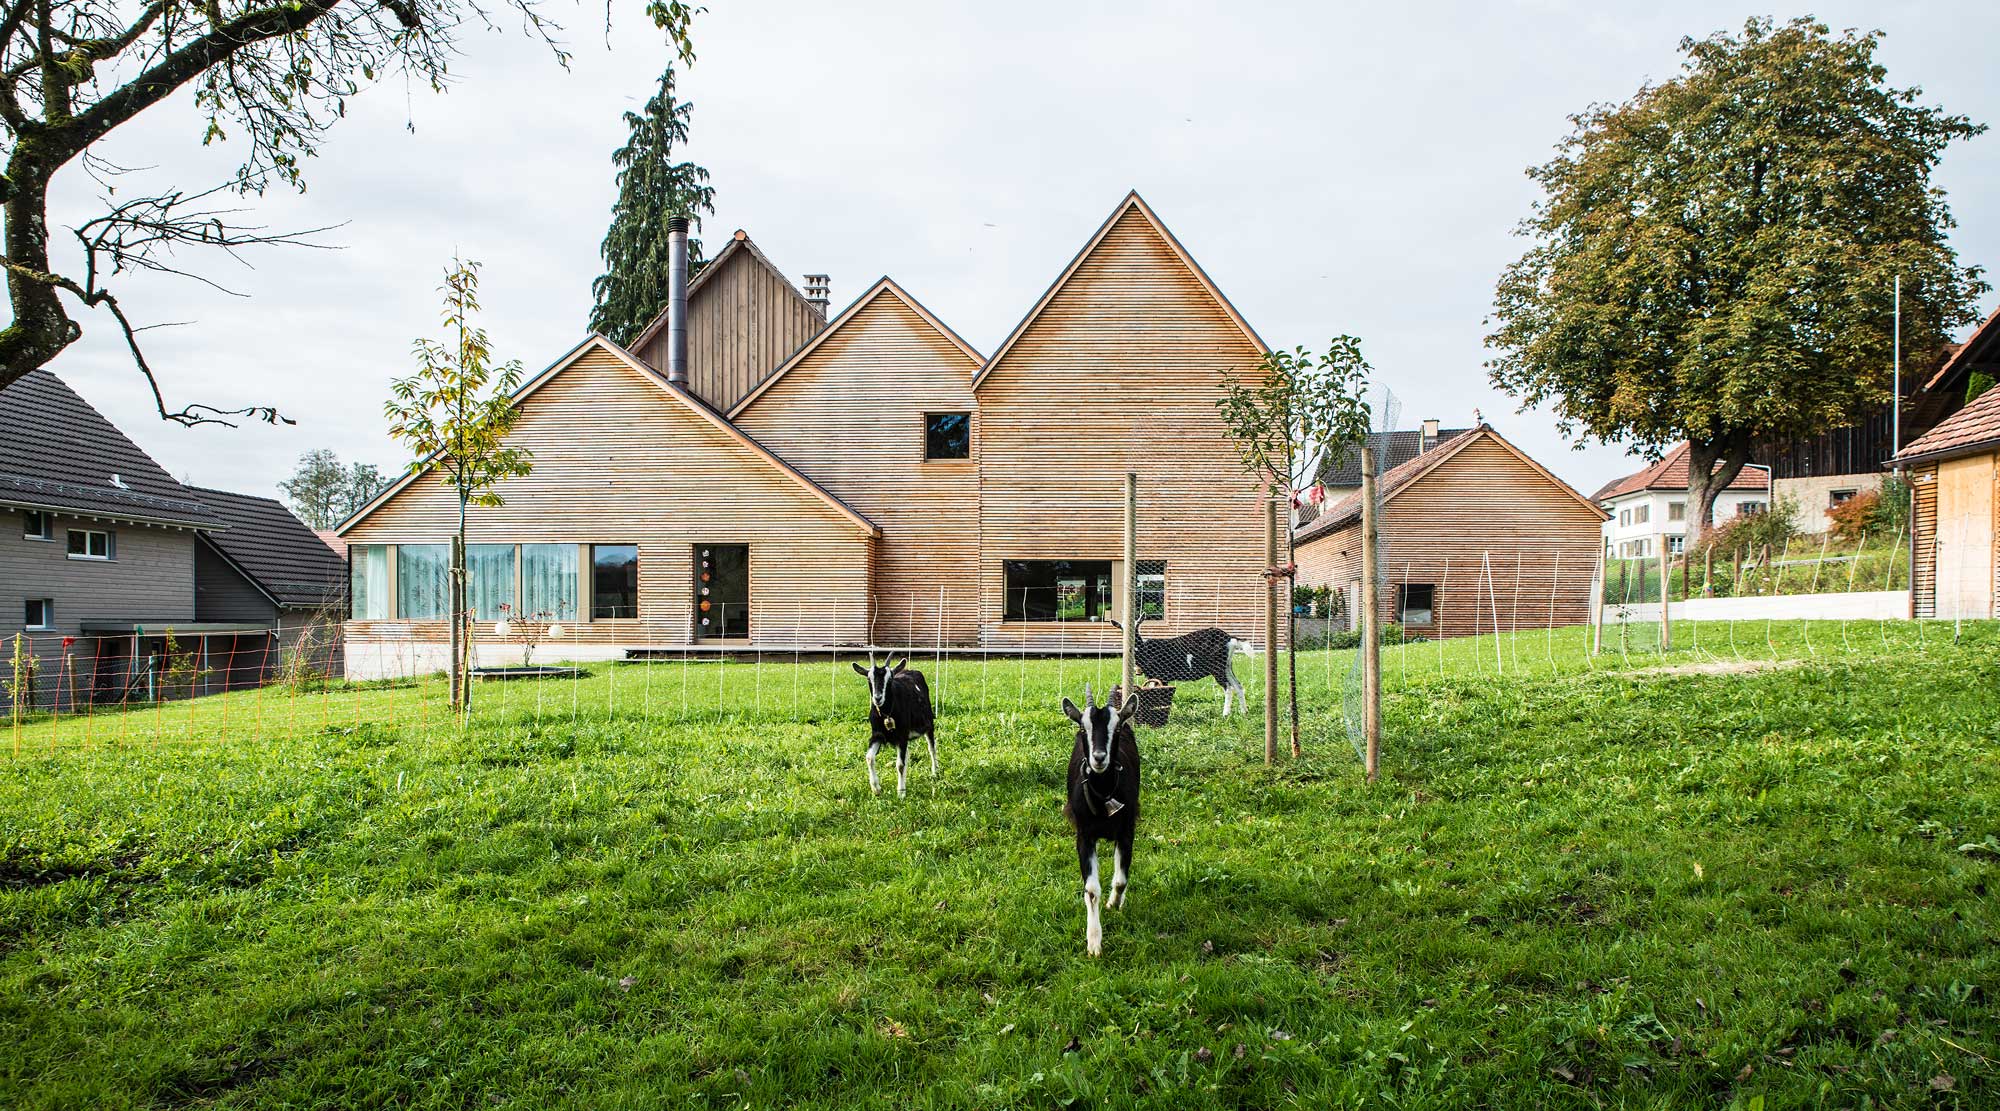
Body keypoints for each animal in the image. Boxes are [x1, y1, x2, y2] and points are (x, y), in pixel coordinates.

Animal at [848, 651, 932, 799]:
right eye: (869, 679)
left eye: (890, 679)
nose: (878, 698)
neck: (886, 714)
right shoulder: (877, 735)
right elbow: (869, 757)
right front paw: (876, 789)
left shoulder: (902, 736)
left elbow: (900, 765)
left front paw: (901, 793)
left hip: (929, 722)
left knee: (931, 747)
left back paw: (935, 772)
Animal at [1064, 679, 1144, 959]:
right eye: (1082, 726)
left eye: (1116, 727)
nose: (1099, 758)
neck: (1104, 795)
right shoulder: (1085, 837)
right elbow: (1091, 890)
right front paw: (1094, 943)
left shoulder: (1127, 832)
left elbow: (1120, 880)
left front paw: (1114, 903)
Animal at [1112, 615, 1248, 711]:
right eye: (1121, 629)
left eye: (1137, 626)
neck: (1146, 650)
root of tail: (1230, 638)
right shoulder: (1153, 677)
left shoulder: (1162, 676)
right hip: (1227, 666)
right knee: (1238, 685)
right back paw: (1244, 712)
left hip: (1217, 667)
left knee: (1229, 687)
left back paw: (1225, 714)